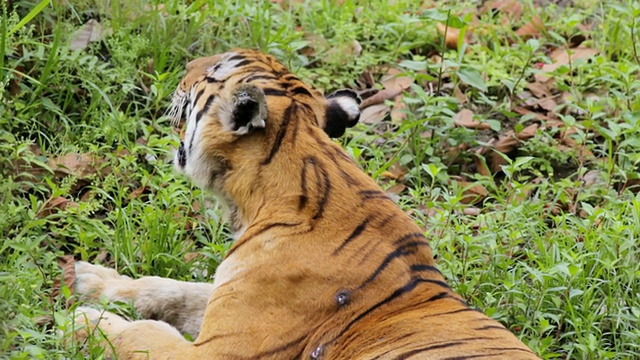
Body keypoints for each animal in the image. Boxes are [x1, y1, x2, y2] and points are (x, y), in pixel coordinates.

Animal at [71, 48, 540, 360]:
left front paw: (81, 322)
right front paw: (90, 280)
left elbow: (141, 335)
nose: (183, 69)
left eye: (216, 70)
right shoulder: (225, 294)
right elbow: (171, 288)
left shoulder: (217, 351)